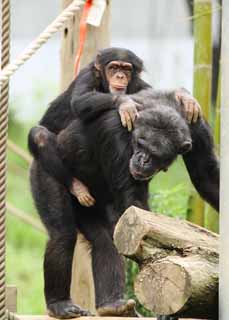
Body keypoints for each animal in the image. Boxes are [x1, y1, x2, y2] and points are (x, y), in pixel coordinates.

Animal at [28, 47, 202, 318]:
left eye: (156, 153)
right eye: (142, 145)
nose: (142, 160)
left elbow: (136, 213)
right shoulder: (115, 132)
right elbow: (132, 204)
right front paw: (126, 105)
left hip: (90, 207)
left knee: (104, 240)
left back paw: (113, 305)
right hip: (44, 171)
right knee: (62, 232)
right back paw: (60, 304)